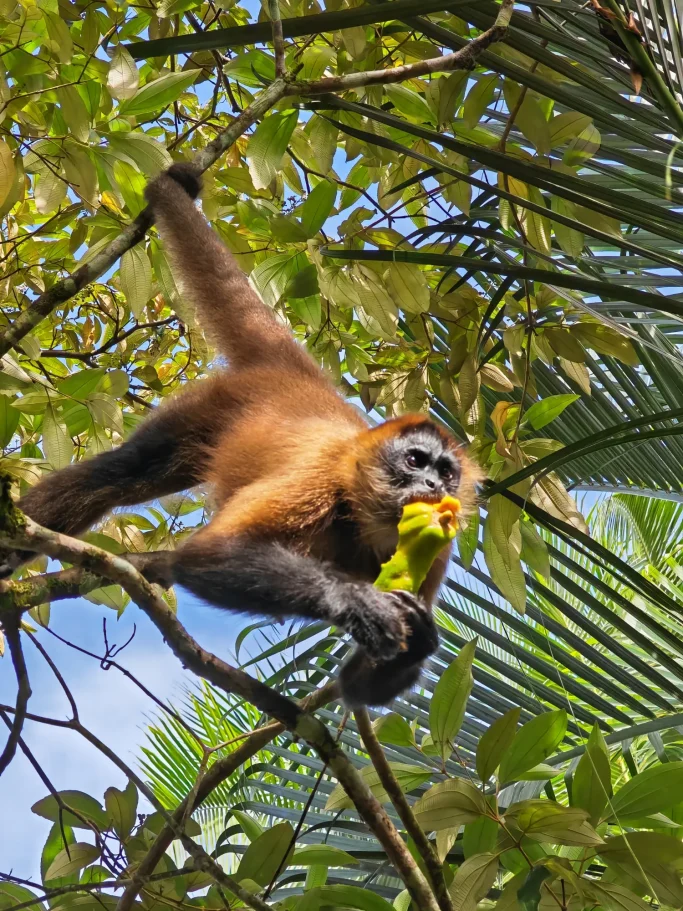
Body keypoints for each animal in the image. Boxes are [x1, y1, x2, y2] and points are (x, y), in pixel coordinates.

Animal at [0, 163, 480, 707]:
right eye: (415, 462)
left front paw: (419, 636)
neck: (359, 514)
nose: (433, 487)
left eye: (446, 473)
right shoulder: (317, 479)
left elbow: (355, 686)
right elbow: (204, 556)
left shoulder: (436, 556)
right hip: (212, 408)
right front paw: (353, 602)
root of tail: (299, 378)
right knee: (122, 472)